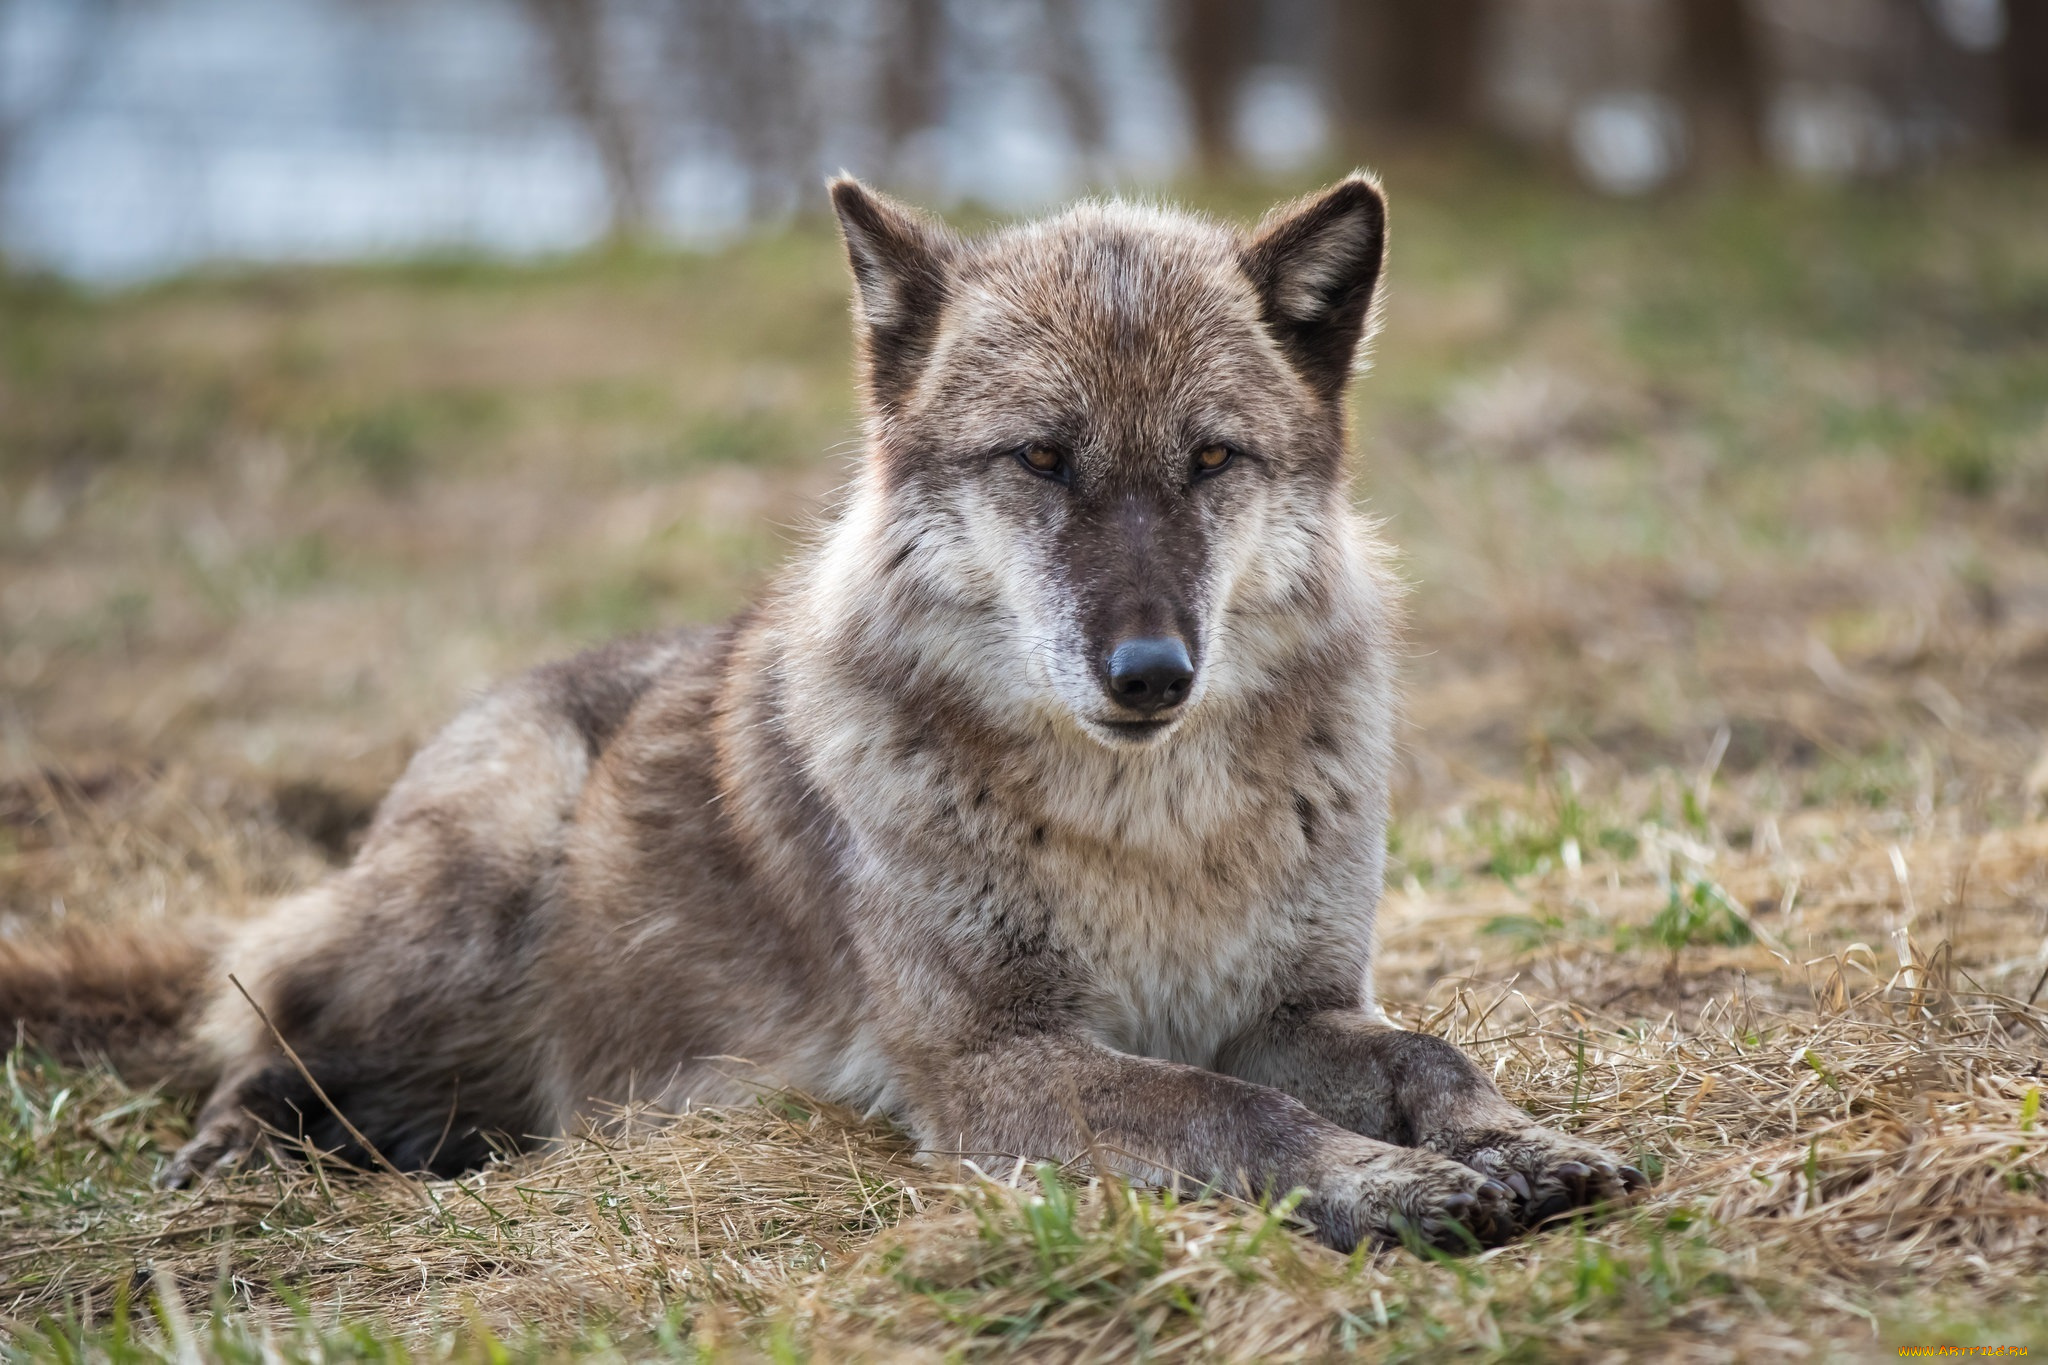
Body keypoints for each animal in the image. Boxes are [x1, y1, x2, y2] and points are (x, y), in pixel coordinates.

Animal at [0, 175, 1638, 1252]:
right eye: (1041, 459)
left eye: (1212, 460)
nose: (1149, 673)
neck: (1145, 826)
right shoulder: (992, 1066)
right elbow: (1232, 1116)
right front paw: (1398, 1186)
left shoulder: (1292, 1010)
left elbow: (1430, 1058)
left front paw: (1514, 1142)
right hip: (464, 897)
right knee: (264, 1017)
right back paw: (240, 1150)